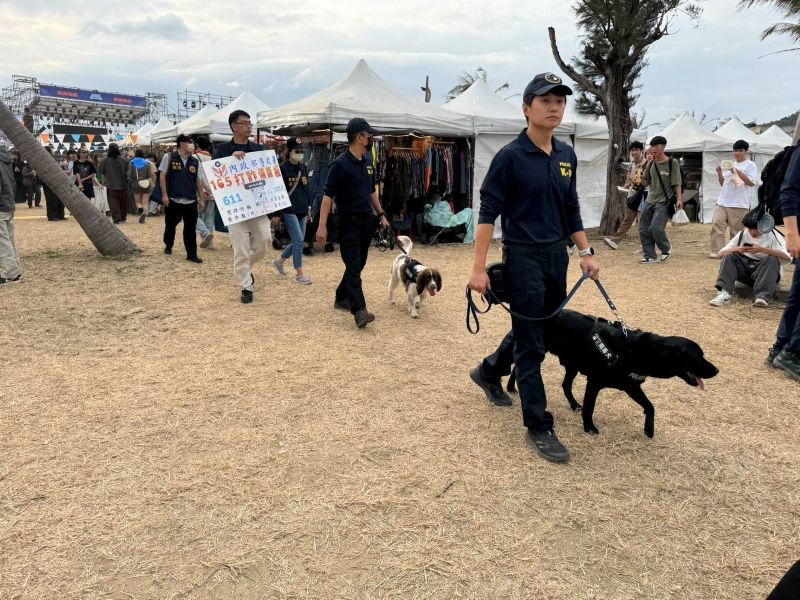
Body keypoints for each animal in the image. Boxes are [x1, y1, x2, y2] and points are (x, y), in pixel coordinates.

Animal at [508, 309, 719, 438]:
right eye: (698, 357)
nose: (717, 370)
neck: (637, 352)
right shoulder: (594, 382)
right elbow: (590, 407)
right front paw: (589, 428)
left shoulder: (630, 385)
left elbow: (650, 407)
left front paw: (648, 429)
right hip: (539, 352)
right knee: (517, 368)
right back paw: (511, 388)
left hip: (572, 365)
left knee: (565, 385)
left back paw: (574, 404)